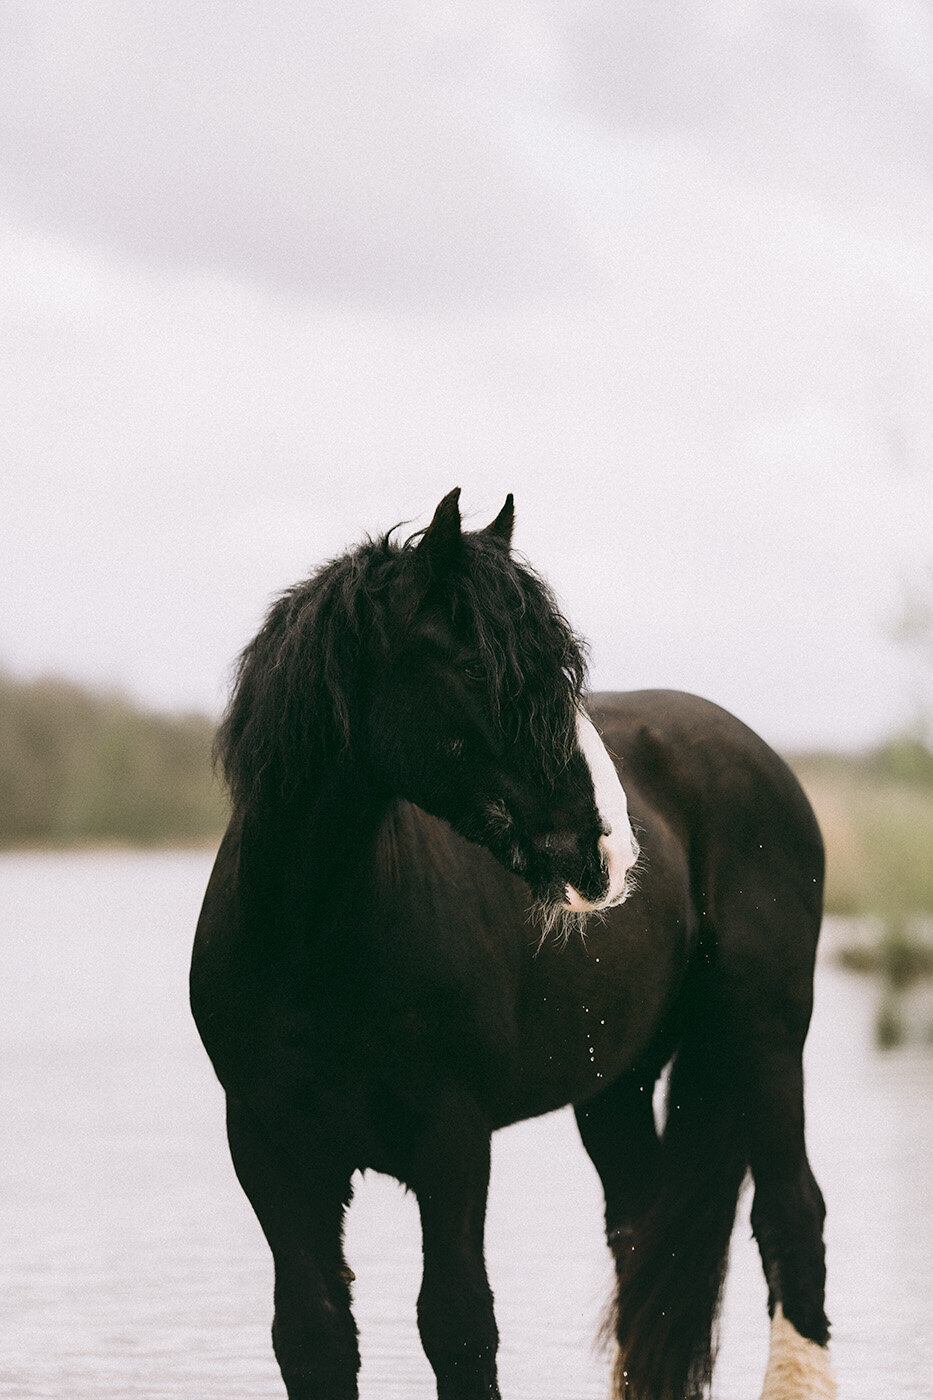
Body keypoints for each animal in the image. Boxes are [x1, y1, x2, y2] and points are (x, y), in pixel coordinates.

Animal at [191, 492, 829, 1400]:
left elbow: (457, 1325)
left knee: (790, 1220)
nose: (607, 849)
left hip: (763, 1037)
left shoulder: (453, 1139)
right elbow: (312, 1335)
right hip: (618, 1085)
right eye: (471, 669)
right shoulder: (268, 1145)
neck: (309, 945)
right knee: (646, 1251)